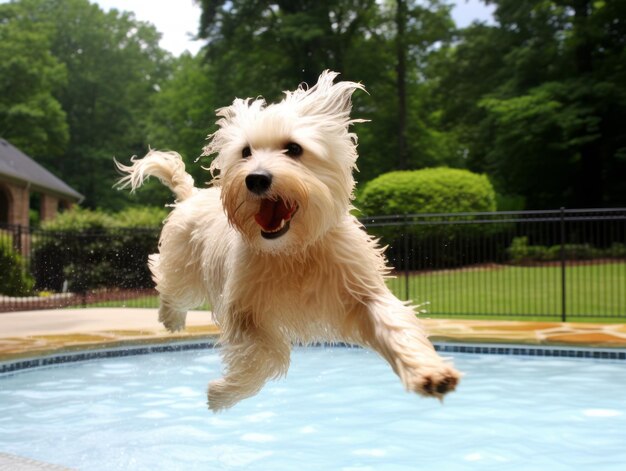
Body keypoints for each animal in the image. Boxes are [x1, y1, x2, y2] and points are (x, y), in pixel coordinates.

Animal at [117, 71, 458, 412]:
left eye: (294, 148)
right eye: (246, 152)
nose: (255, 178)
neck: (292, 251)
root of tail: (191, 195)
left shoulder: (360, 291)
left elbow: (393, 323)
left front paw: (429, 372)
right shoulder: (244, 310)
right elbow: (266, 357)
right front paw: (222, 394)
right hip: (185, 269)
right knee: (169, 282)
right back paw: (171, 318)